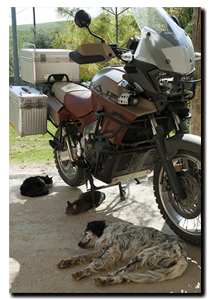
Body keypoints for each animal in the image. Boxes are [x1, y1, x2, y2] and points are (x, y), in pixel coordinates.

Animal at [56, 220, 187, 286]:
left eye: (85, 232)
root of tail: (182, 248)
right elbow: (83, 256)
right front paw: (67, 261)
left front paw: (82, 272)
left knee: (125, 271)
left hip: (144, 253)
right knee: (128, 277)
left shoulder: (113, 249)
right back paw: (104, 281)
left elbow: (94, 262)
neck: (106, 230)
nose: (78, 244)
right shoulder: (103, 250)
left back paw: (109, 275)